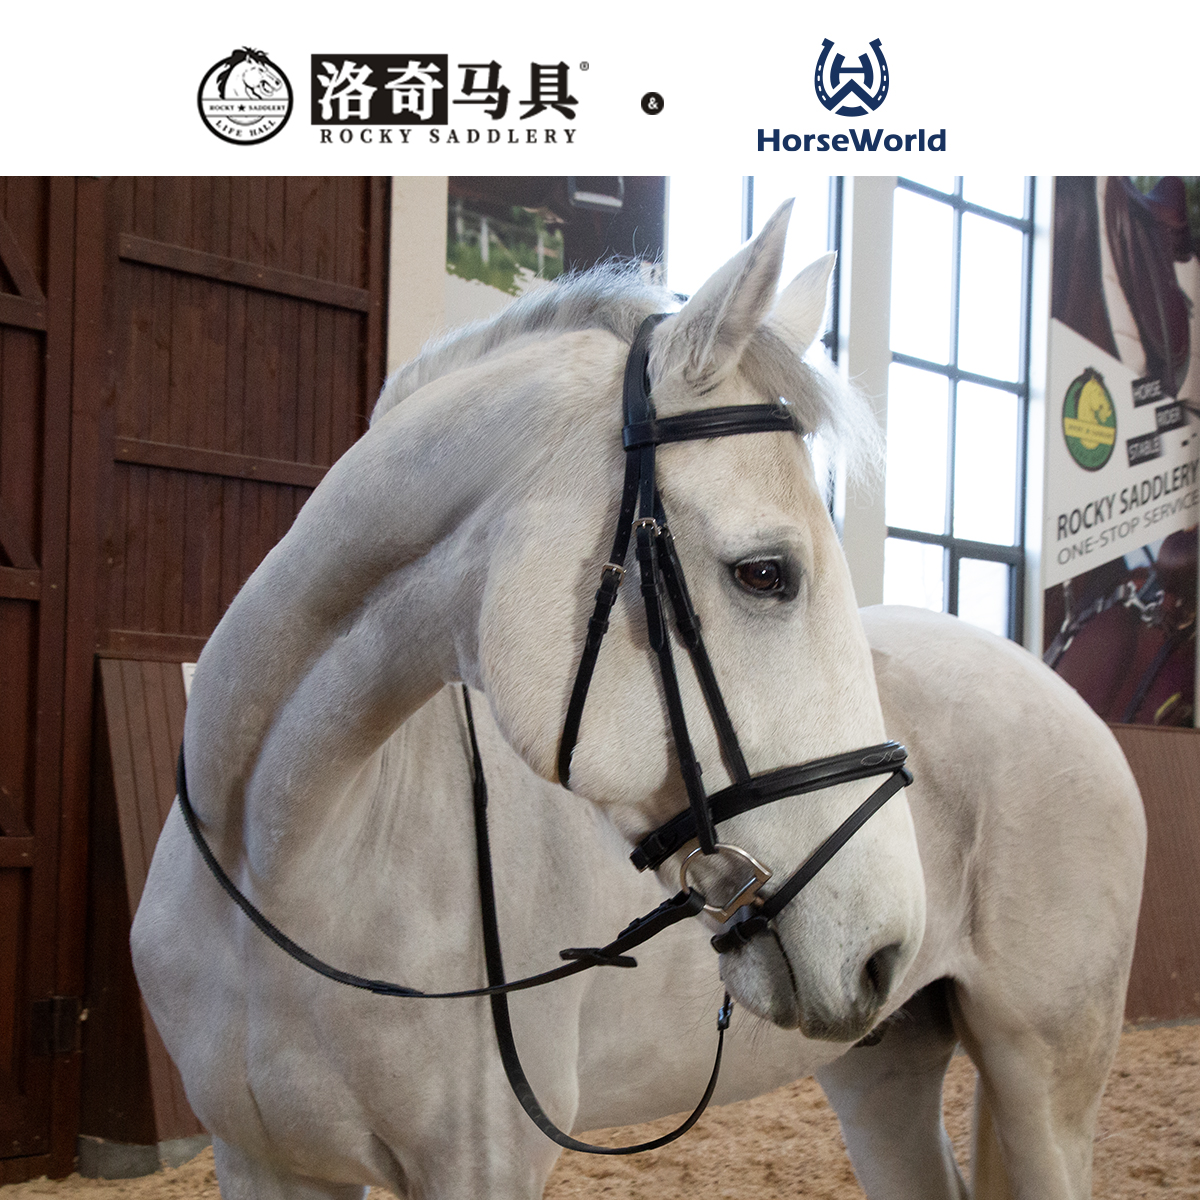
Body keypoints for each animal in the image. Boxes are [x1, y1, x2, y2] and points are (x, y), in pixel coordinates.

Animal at [132, 205, 1145, 1200]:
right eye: (765, 573)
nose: (885, 945)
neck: (283, 860)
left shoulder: (479, 1169)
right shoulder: (263, 1162)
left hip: (1044, 1074)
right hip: (880, 1063)